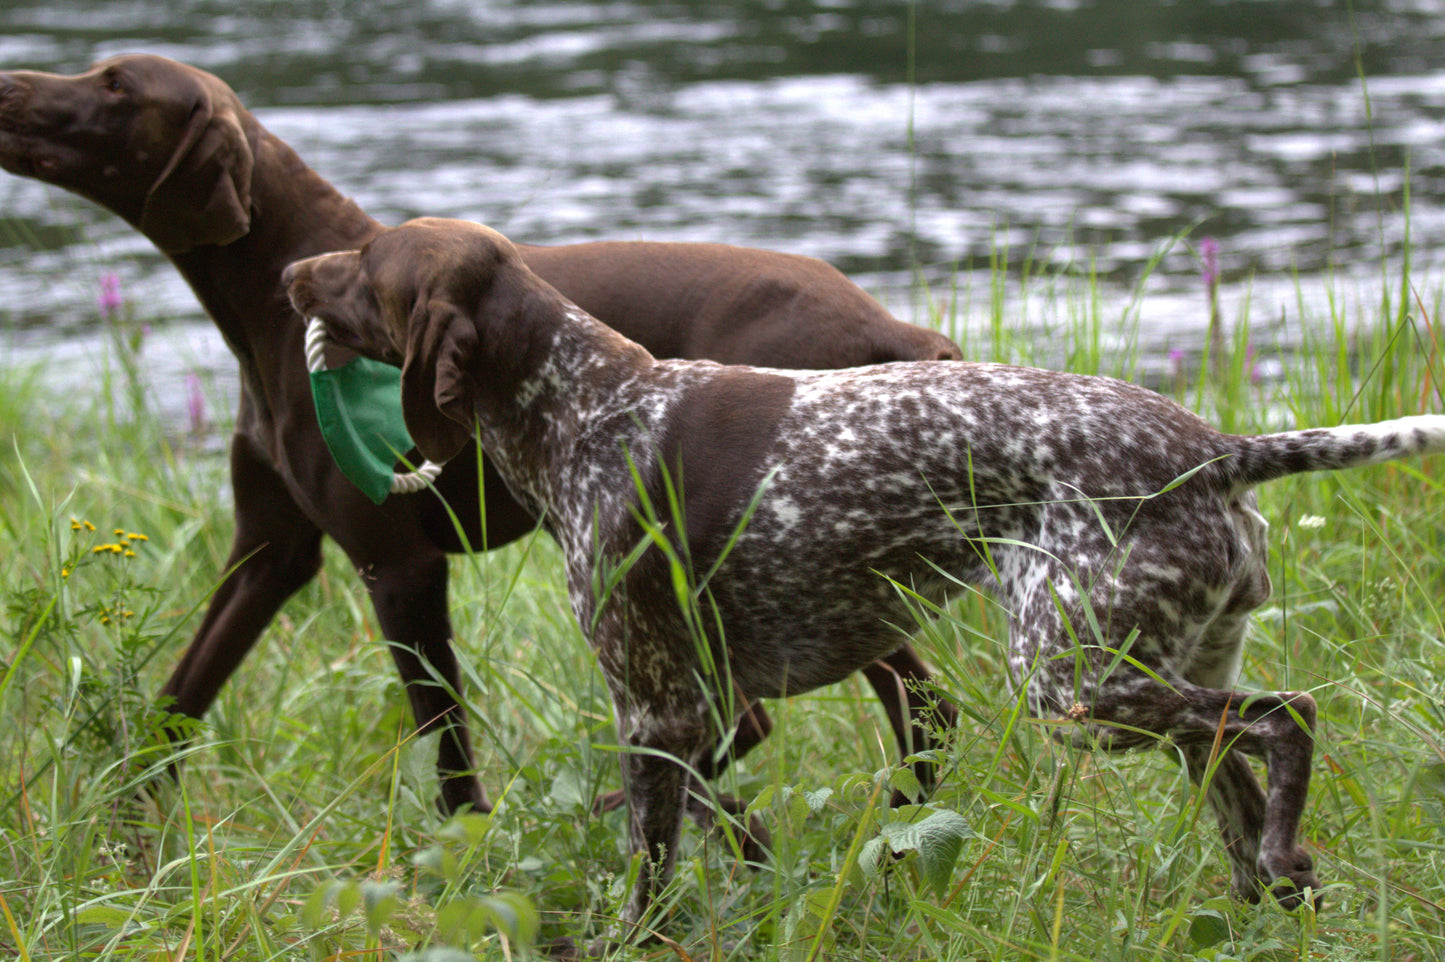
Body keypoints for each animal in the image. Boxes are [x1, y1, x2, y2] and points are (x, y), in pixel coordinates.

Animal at [0, 54, 965, 808]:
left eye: (117, 85)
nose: (9, 81)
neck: (267, 317)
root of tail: (894, 328)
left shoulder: (399, 566)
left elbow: (451, 762)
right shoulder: (269, 551)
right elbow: (175, 703)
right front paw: (123, 833)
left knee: (886, 711)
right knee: (896, 715)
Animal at [284, 215, 1445, 936]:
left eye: (365, 260)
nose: (292, 274)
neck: (584, 407)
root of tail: (1214, 449)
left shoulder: (656, 707)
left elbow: (648, 867)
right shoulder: (701, 708)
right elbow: (723, 820)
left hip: (1074, 682)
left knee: (1284, 719)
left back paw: (1285, 847)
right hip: (1160, 669)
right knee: (1236, 782)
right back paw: (1271, 893)